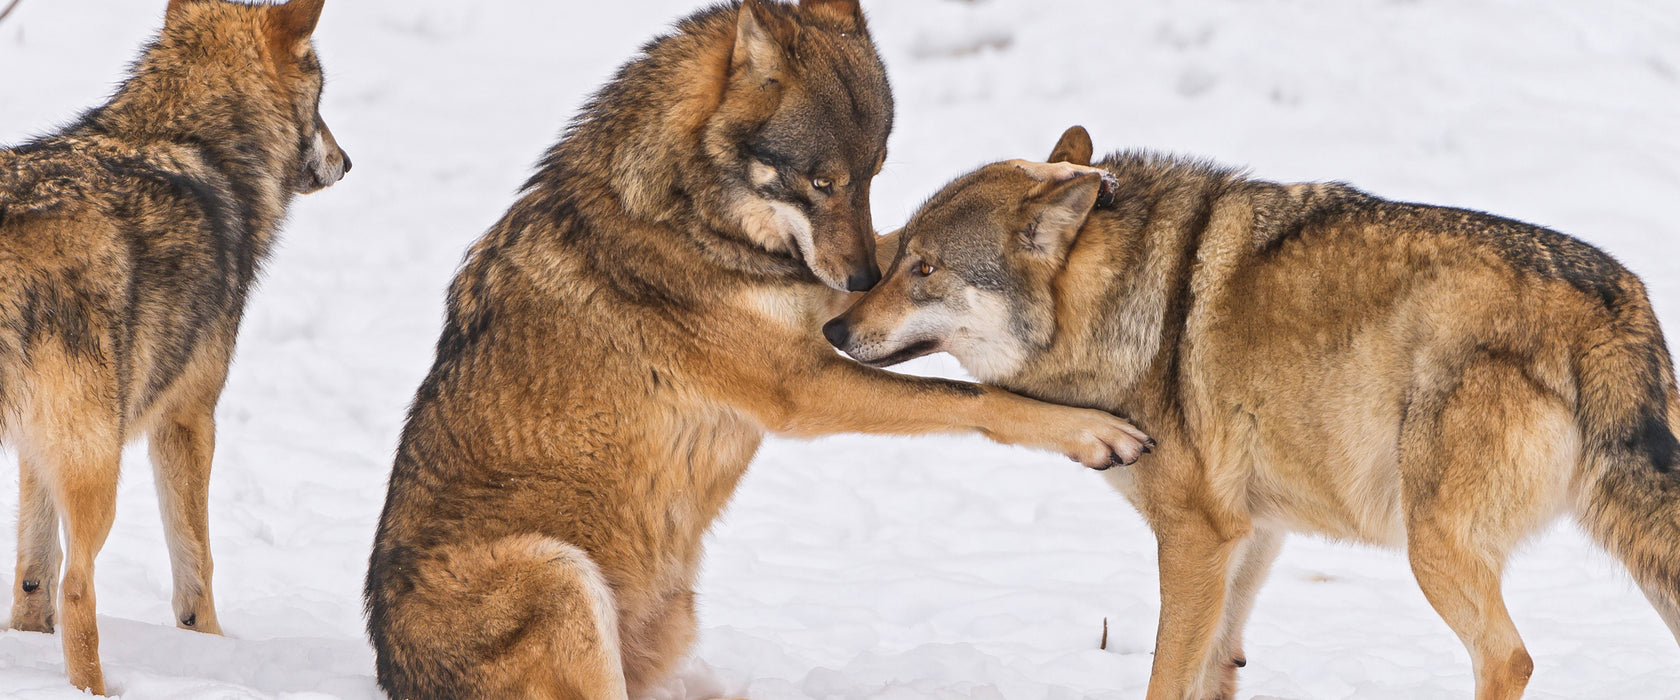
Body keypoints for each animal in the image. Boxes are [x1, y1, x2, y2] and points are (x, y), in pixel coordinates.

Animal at [364, 2, 1155, 694]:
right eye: (821, 181)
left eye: (873, 173)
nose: (860, 282)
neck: (687, 215)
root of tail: (393, 673)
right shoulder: (801, 384)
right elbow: (969, 397)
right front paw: (1091, 431)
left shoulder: (822, 299)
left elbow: (907, 243)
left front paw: (1056, 179)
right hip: (560, 577)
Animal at [826, 125, 1680, 698]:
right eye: (897, 255)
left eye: (925, 269)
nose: (833, 330)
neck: (1129, 304)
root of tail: (1616, 305)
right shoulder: (1250, 540)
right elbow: (1215, 668)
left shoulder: (1195, 542)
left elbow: (1165, 679)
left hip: (1432, 548)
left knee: (1509, 658)